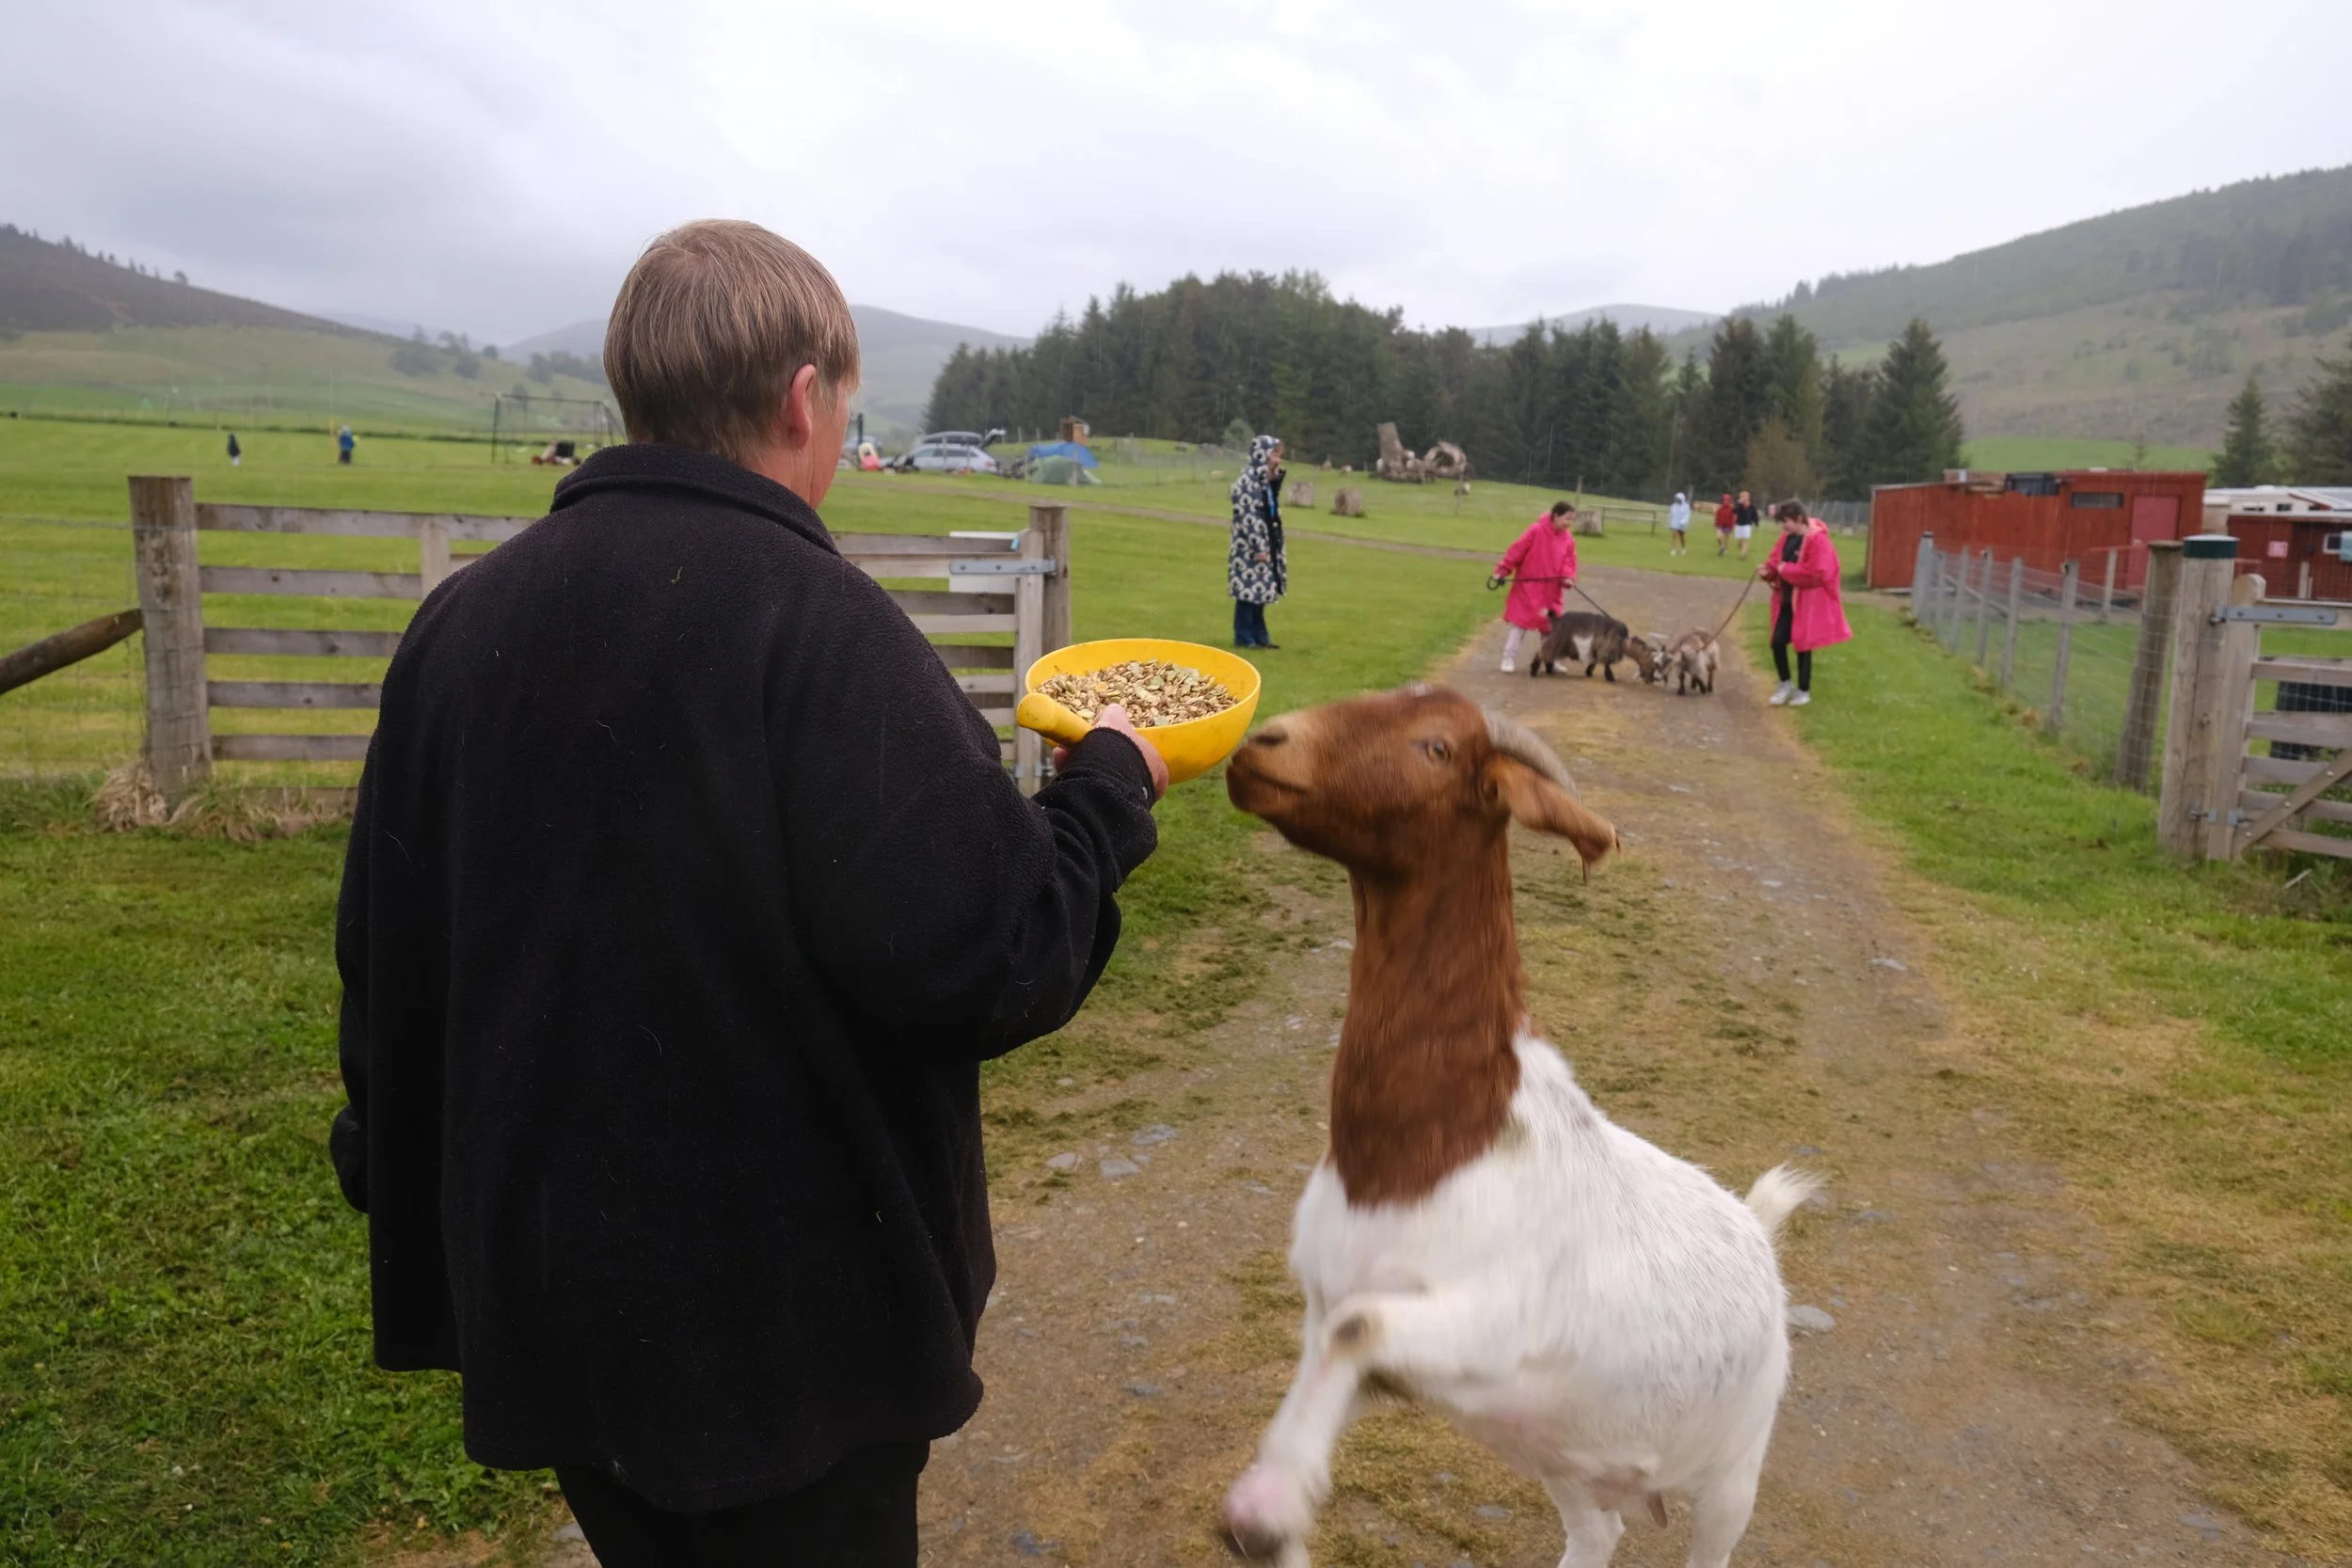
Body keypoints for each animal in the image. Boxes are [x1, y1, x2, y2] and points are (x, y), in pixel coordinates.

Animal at [1221, 685, 1817, 1568]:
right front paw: (1274, 1516)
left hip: (1733, 1470)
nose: (1263, 743)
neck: (1433, 1149)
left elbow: (1359, 1325)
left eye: (1436, 746)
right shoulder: (1342, 1323)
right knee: (1597, 1530)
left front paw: (1266, 1508)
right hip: (1562, 1452)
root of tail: (1757, 1227)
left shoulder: (1495, 1328)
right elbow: (1337, 1342)